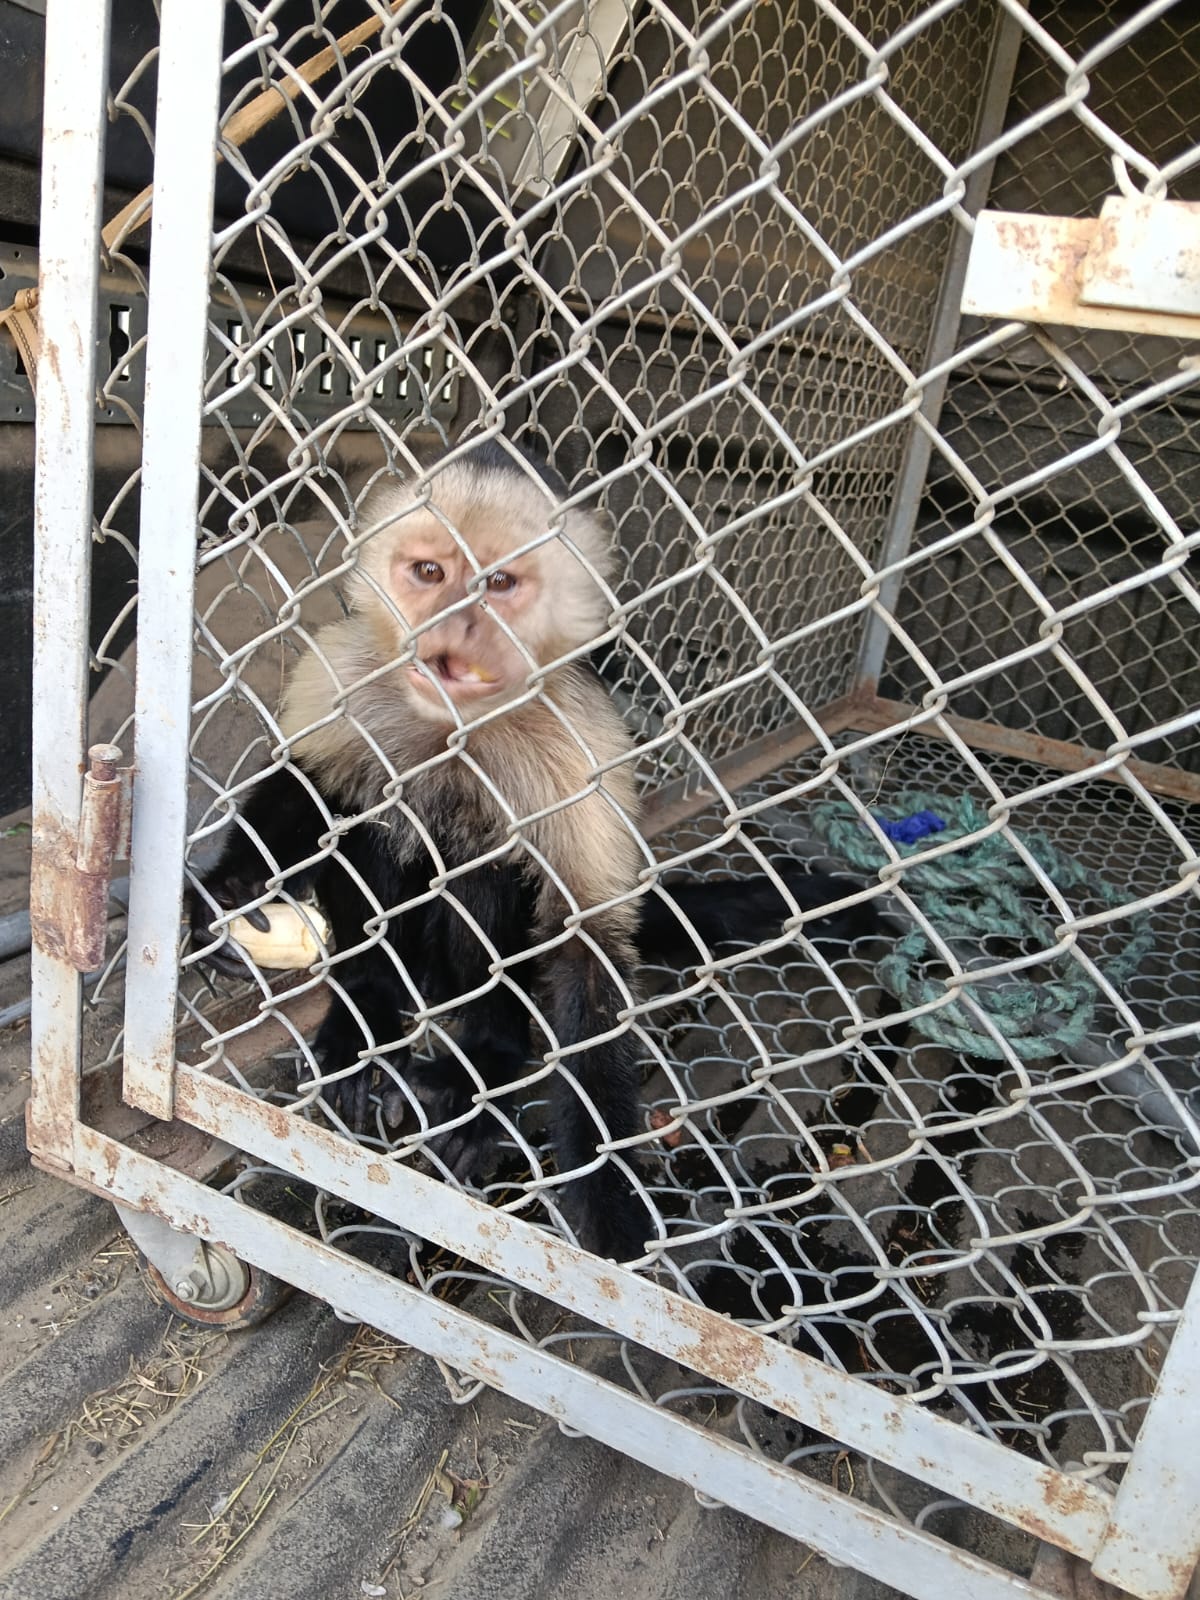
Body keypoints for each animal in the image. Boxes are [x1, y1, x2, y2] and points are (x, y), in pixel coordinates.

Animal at [189, 440, 875, 1260]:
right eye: (429, 572)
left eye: (500, 585)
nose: (449, 628)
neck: (459, 722)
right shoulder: (348, 667)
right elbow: (314, 783)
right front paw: (229, 891)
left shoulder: (581, 732)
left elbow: (585, 942)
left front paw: (608, 1200)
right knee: (372, 824)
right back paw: (370, 1010)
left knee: (491, 882)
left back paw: (486, 1060)